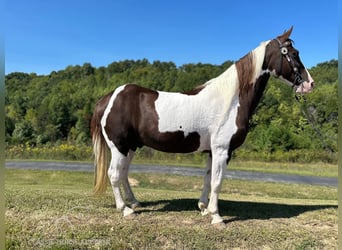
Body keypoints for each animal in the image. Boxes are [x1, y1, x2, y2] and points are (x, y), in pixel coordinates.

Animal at [90, 26, 312, 225]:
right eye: (293, 53)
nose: (310, 84)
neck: (231, 100)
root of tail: (108, 98)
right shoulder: (222, 150)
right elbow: (217, 181)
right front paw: (216, 217)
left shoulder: (213, 151)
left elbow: (208, 179)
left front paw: (204, 208)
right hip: (119, 146)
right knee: (114, 174)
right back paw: (125, 210)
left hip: (130, 147)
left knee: (123, 173)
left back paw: (134, 203)